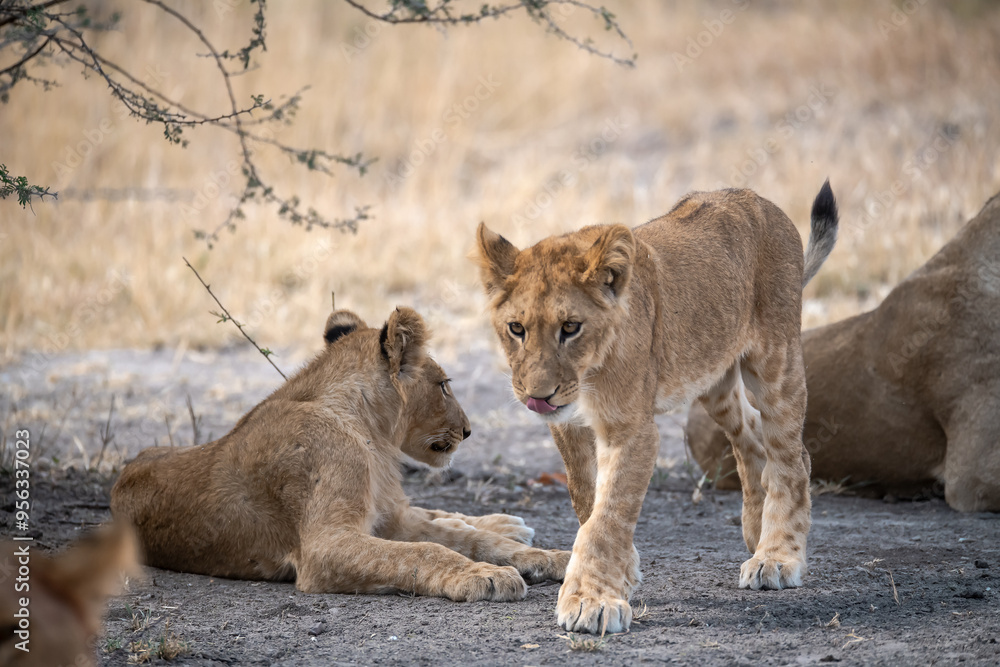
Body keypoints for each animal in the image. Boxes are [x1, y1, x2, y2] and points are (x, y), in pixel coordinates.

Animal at [111, 307, 568, 601]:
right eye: (444, 385)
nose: (468, 431)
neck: (371, 435)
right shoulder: (325, 545)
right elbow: (428, 550)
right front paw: (486, 576)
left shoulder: (389, 520)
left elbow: (472, 539)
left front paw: (554, 558)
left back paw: (510, 524)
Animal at [476, 182, 838, 633]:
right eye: (516, 328)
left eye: (571, 327)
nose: (539, 396)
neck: (589, 374)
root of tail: (754, 196)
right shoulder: (568, 426)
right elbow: (588, 500)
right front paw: (623, 571)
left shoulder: (631, 430)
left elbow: (608, 514)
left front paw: (592, 600)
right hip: (712, 381)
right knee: (752, 440)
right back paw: (757, 533)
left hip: (776, 358)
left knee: (791, 456)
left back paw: (776, 557)